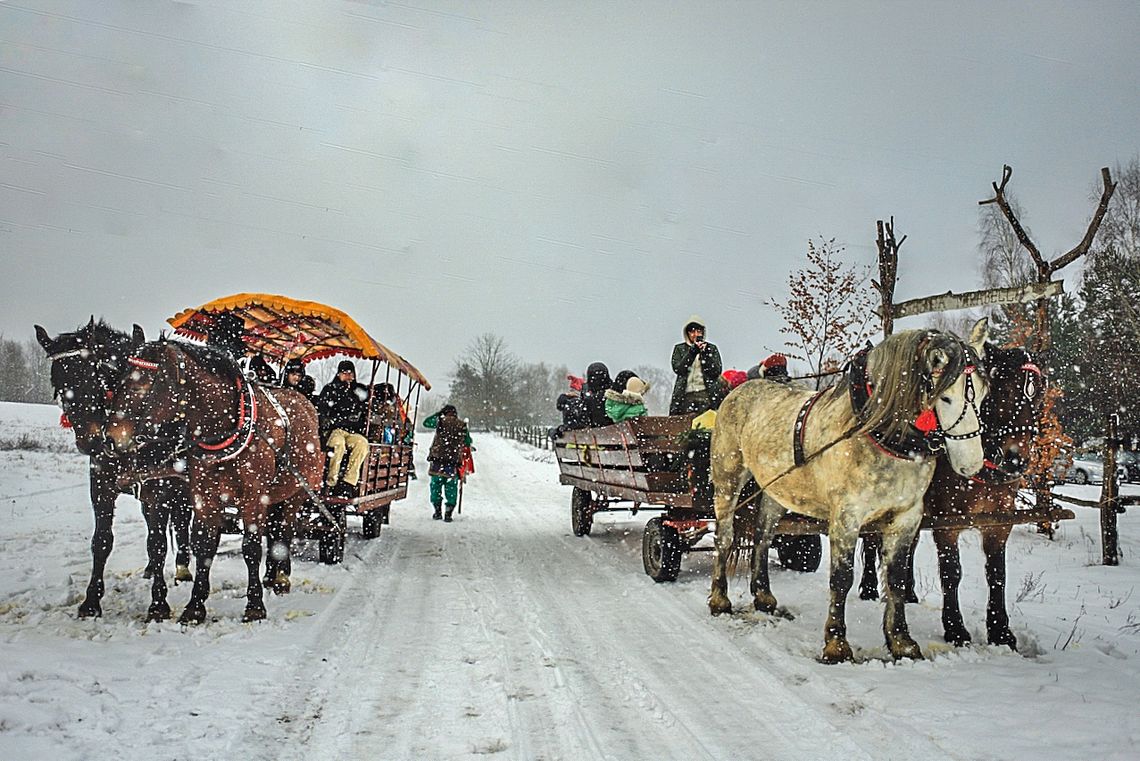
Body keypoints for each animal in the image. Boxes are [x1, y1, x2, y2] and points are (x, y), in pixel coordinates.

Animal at [32, 318, 193, 619]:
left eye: (91, 375)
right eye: (57, 382)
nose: (90, 441)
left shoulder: (158, 489)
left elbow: (157, 543)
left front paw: (158, 604)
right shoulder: (102, 485)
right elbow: (102, 541)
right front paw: (91, 601)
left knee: (180, 524)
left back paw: (183, 569)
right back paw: (156, 569)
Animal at [105, 334, 323, 619]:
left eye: (146, 382)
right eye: (119, 380)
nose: (110, 438)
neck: (227, 427)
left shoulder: (254, 498)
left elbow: (251, 547)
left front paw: (255, 606)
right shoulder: (204, 496)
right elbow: (204, 545)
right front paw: (195, 606)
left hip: (297, 492)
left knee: (284, 532)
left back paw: (282, 578)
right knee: (275, 532)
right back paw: (270, 576)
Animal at [706, 330, 984, 660]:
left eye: (983, 394)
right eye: (946, 397)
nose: (971, 465)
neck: (878, 433)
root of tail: (739, 390)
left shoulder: (906, 517)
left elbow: (896, 579)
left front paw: (901, 641)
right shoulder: (847, 516)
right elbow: (842, 577)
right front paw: (836, 643)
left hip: (775, 488)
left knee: (762, 537)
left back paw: (763, 596)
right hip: (728, 479)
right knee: (725, 537)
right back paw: (719, 599)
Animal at [857, 318, 1044, 651]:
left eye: (1039, 391)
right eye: (1002, 389)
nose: (1015, 460)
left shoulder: (999, 522)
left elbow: (997, 573)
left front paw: (1000, 631)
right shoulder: (948, 521)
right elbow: (951, 571)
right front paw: (955, 628)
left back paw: (908, 591)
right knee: (870, 541)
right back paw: (868, 587)